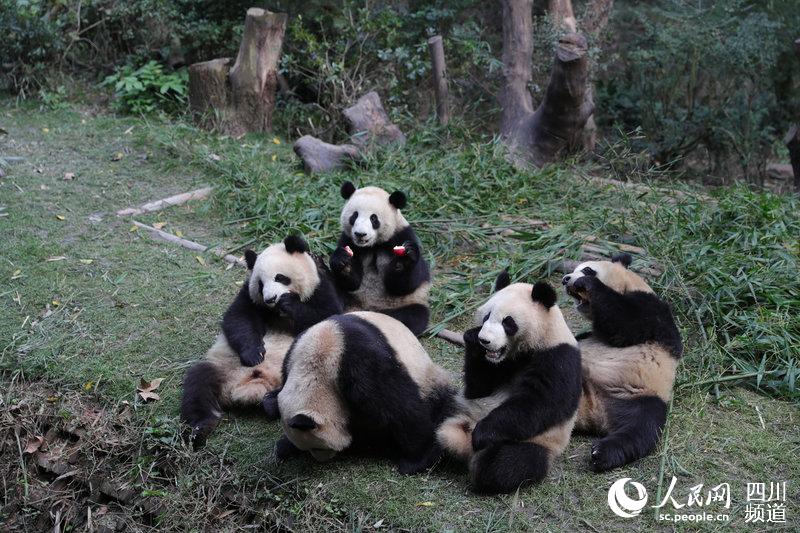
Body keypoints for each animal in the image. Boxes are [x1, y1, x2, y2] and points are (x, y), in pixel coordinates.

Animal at [274, 310, 456, 472]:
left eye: (318, 448)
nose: (321, 459)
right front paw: (286, 446)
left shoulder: (358, 361)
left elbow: (399, 406)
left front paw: (418, 460)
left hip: (427, 378)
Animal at [328, 181, 432, 334]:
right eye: (354, 216)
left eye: (373, 218)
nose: (360, 234)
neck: (373, 245)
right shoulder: (348, 240)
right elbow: (352, 282)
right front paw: (343, 261)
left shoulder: (401, 235)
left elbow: (403, 285)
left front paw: (404, 261)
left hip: (407, 303)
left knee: (414, 316)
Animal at [438, 274, 580, 494]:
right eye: (486, 316)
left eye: (508, 322)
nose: (484, 340)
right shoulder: (498, 365)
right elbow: (477, 389)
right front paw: (472, 338)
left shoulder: (558, 358)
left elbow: (537, 404)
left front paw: (482, 433)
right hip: (462, 408)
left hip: (538, 441)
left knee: (506, 463)